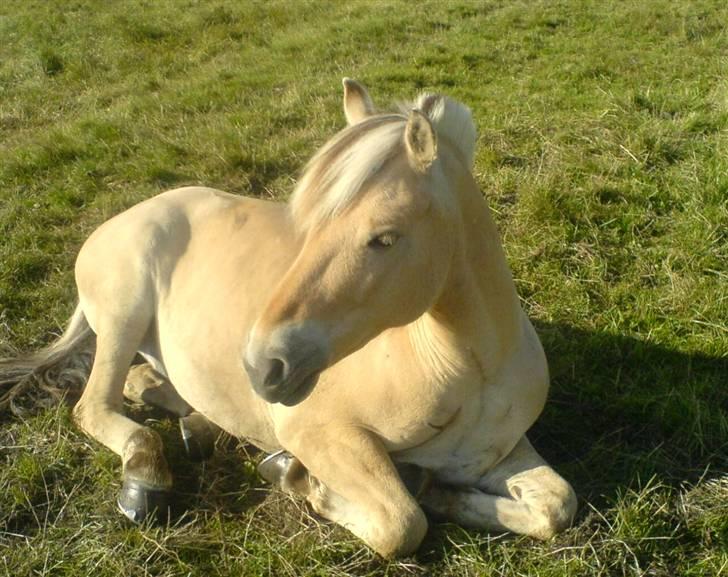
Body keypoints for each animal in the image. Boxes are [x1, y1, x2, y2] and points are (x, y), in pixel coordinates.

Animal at [1, 79, 576, 556]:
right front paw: (301, 480)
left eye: (385, 238)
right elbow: (401, 523)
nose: (262, 367)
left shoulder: (495, 452)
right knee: (94, 405)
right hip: (124, 312)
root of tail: (126, 215)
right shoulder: (322, 433)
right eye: (310, 226)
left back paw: (197, 424)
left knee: (143, 381)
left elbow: (557, 506)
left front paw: (437, 492)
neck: (467, 371)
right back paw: (146, 478)